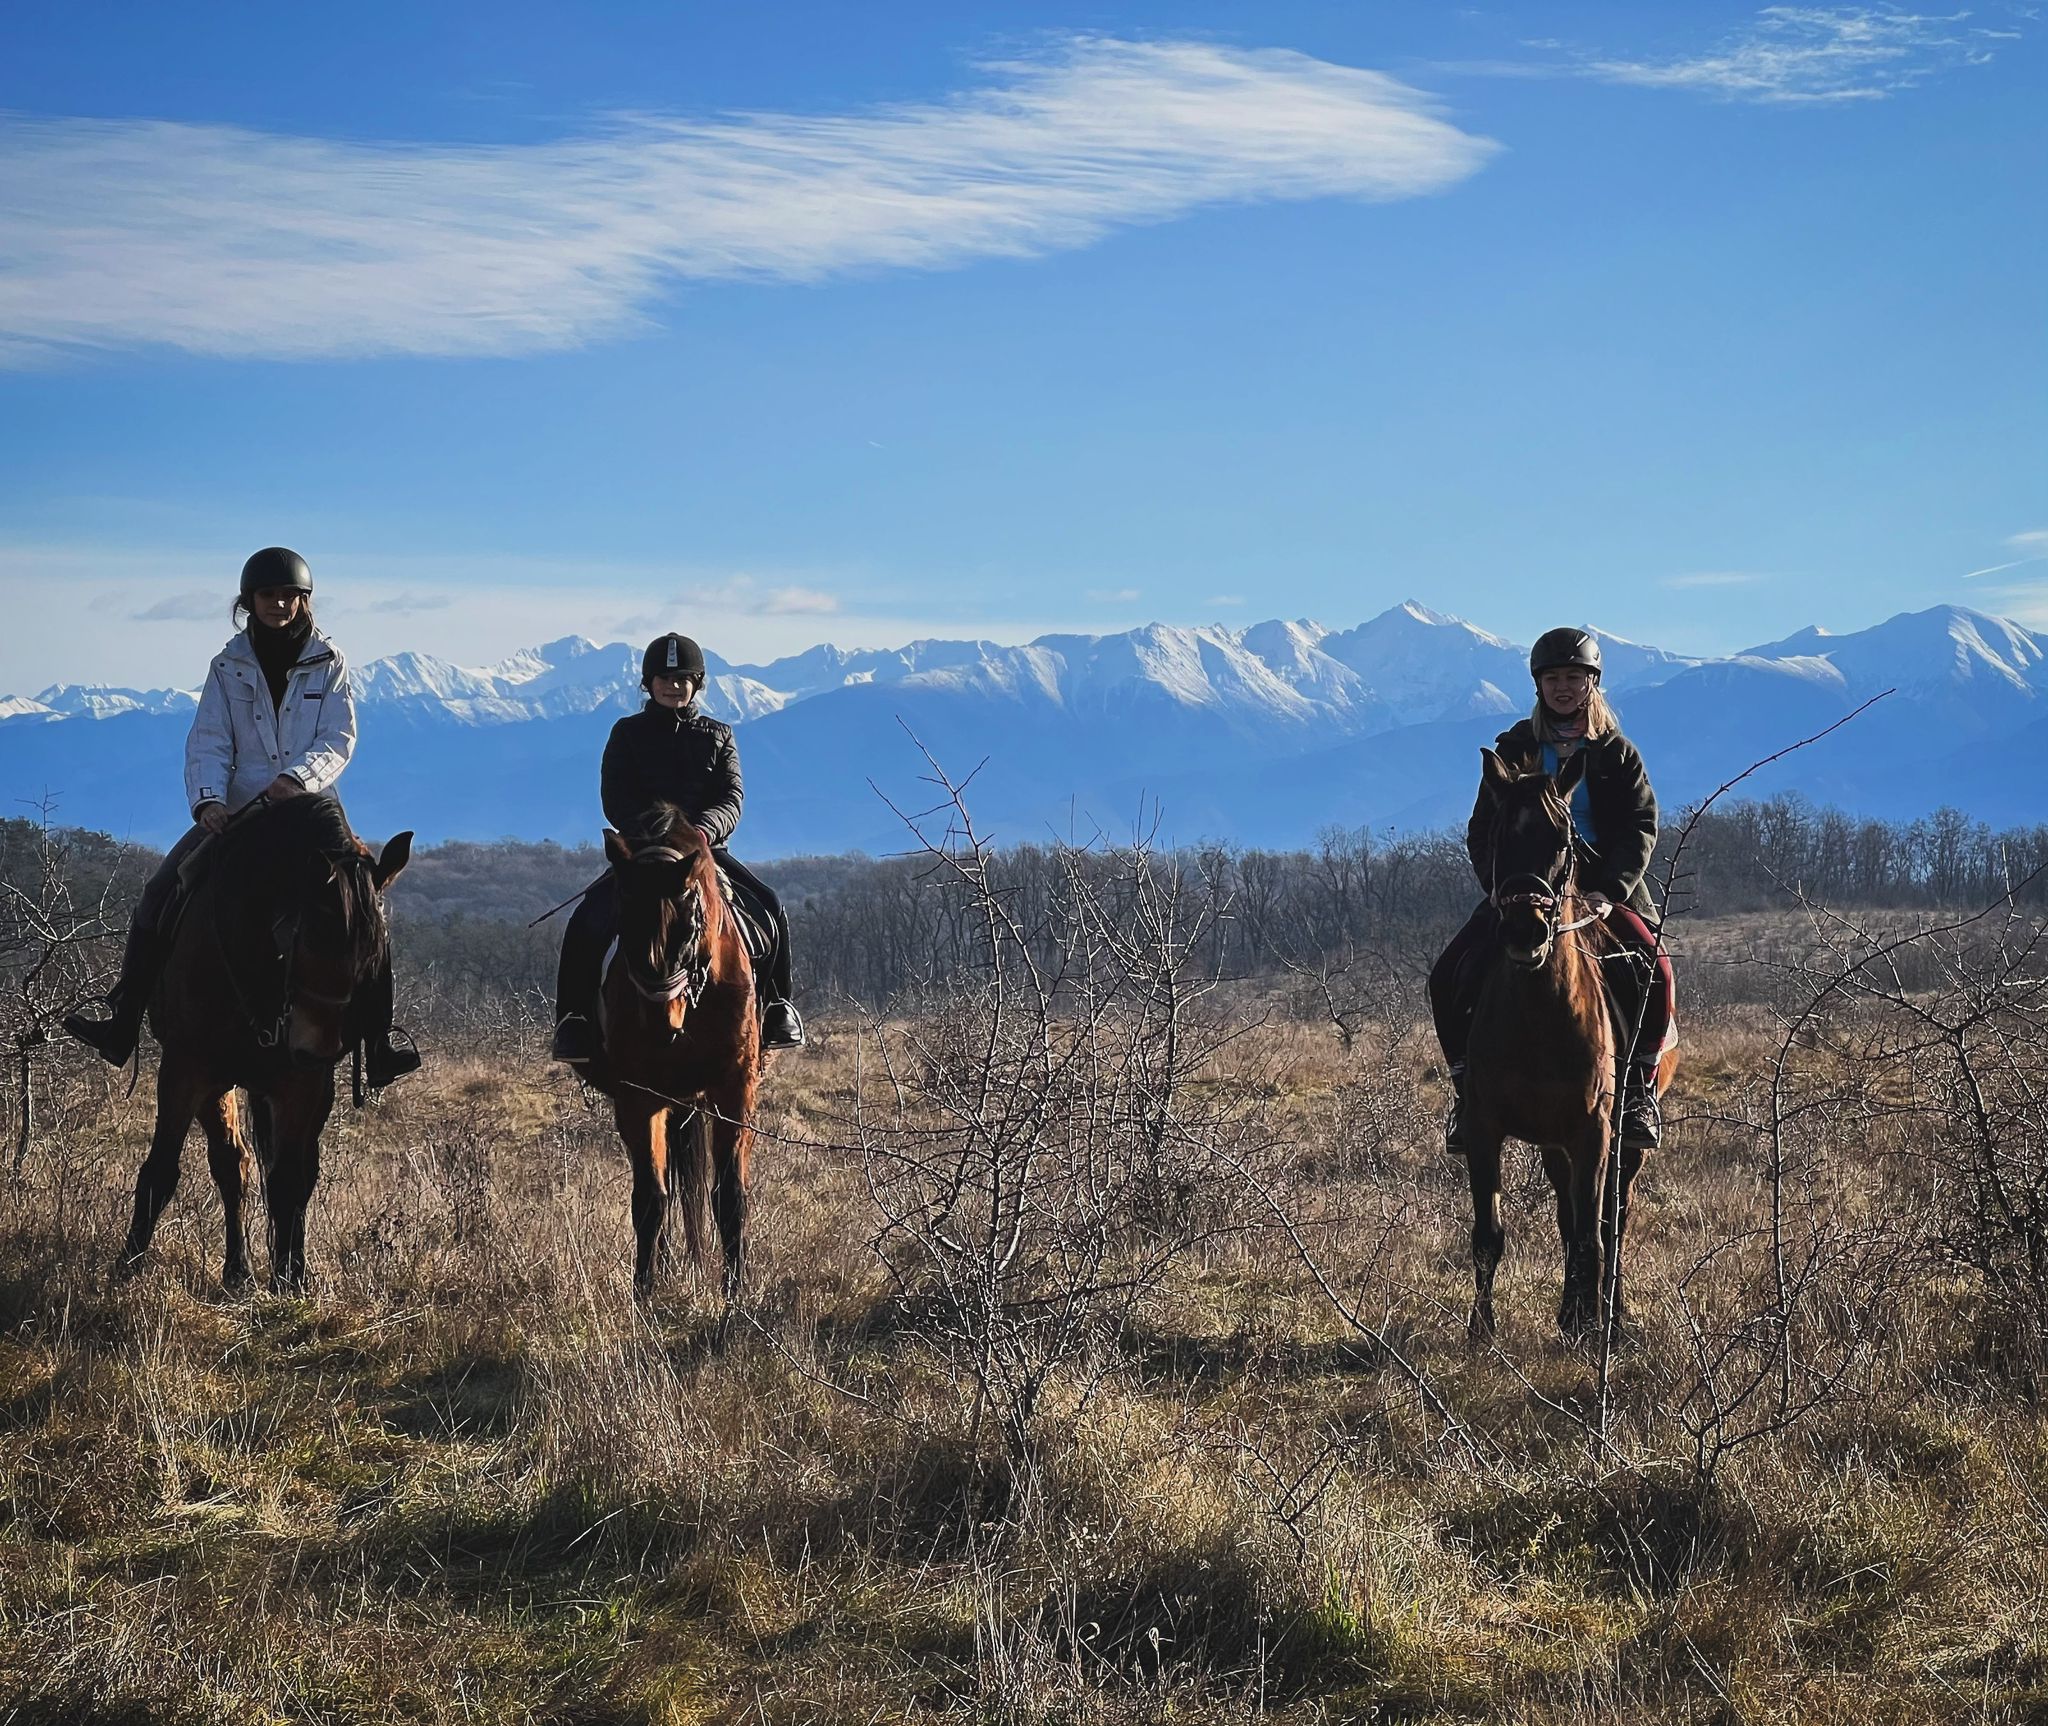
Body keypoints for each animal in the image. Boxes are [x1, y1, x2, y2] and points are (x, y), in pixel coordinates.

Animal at [117, 802, 413, 1285]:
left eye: (374, 952)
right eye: (308, 937)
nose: (313, 1050)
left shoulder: (301, 1085)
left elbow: (289, 1179)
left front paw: (290, 1279)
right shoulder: (188, 1070)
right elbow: (164, 1168)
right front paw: (125, 1268)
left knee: (292, 1171)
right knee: (232, 1166)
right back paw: (236, 1270)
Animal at [593, 810, 761, 1293]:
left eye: (688, 925)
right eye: (622, 919)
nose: (659, 1024)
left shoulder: (734, 1089)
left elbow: (729, 1196)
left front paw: (735, 1292)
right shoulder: (638, 1096)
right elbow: (650, 1198)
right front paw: (644, 1293)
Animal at [1466, 749, 1671, 1343]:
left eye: (1562, 839)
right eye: (1498, 836)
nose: (1524, 931)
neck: (1540, 1016)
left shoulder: (1593, 1130)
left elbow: (1592, 1236)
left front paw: (1594, 1328)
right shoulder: (1483, 1126)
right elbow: (1488, 1235)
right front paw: (1481, 1330)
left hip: (1620, 1140)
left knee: (1611, 1220)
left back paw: (1610, 1314)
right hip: (1555, 1143)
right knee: (1569, 1214)